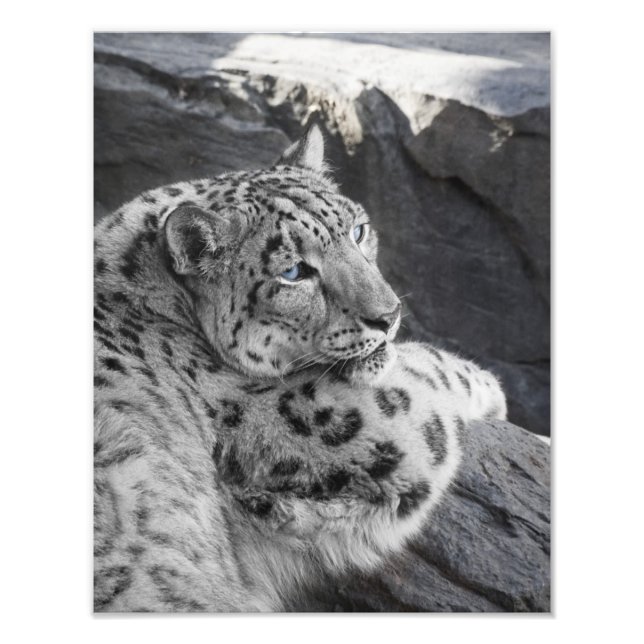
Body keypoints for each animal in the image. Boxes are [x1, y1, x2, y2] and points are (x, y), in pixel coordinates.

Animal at [93, 124, 507, 612]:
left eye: (358, 230)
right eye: (293, 272)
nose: (388, 315)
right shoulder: (352, 417)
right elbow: (423, 372)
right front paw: (490, 386)